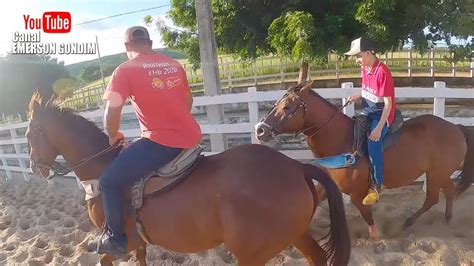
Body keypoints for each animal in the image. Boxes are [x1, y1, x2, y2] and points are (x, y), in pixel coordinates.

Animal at [25, 92, 352, 266]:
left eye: (29, 135)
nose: (35, 168)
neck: (101, 169)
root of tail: (295, 167)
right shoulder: (138, 244)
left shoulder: (117, 245)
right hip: (296, 234)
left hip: (253, 253)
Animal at [256, 81, 474, 239]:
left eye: (287, 107)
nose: (260, 130)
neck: (342, 141)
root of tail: (456, 128)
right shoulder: (329, 184)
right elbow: (315, 200)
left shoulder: (356, 194)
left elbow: (367, 216)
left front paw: (376, 236)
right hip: (439, 173)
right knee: (448, 193)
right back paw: (445, 221)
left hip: (437, 173)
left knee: (434, 197)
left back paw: (411, 222)